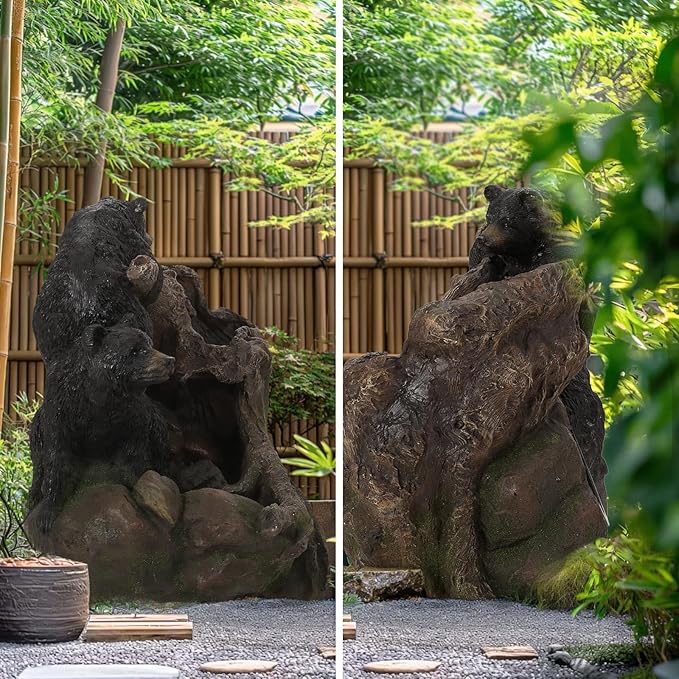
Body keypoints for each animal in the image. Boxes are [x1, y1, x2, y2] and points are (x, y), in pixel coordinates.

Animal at [28, 323, 175, 533]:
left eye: (150, 344)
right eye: (136, 350)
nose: (169, 360)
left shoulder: (133, 419)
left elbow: (135, 457)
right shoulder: (61, 412)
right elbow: (56, 457)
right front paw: (46, 514)